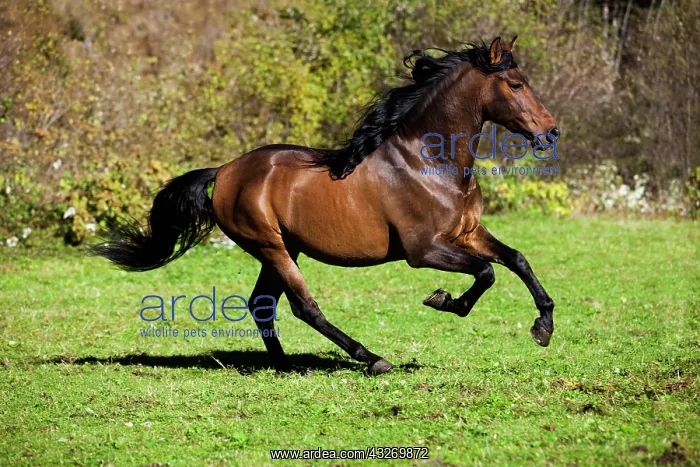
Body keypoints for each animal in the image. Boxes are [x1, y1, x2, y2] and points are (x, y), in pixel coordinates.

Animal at [93, 36, 560, 376]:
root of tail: (224, 170)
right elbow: (485, 273)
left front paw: (543, 328)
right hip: (270, 246)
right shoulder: (423, 250)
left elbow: (515, 260)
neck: (429, 162)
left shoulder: (468, 233)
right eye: (516, 84)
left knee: (263, 304)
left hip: (285, 248)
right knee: (303, 306)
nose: (551, 131)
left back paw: (283, 365)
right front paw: (444, 300)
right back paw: (371, 359)